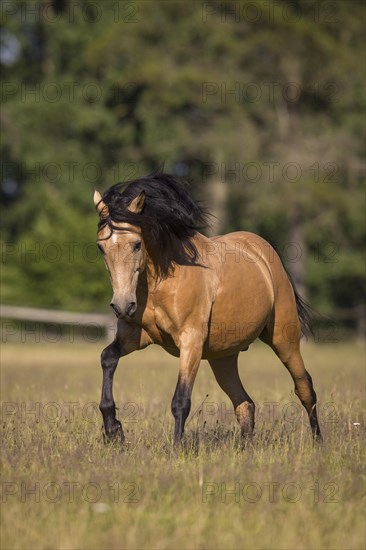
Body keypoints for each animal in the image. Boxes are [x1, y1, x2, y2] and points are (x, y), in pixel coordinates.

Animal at [93, 175, 322, 446]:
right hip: (222, 356)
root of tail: (266, 254)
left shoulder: (190, 341)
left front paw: (177, 448)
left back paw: (318, 443)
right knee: (244, 403)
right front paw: (114, 430)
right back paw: (247, 449)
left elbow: (180, 401)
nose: (122, 306)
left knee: (304, 388)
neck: (163, 279)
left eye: (137, 244)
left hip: (284, 340)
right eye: (101, 248)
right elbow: (107, 358)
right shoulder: (137, 336)